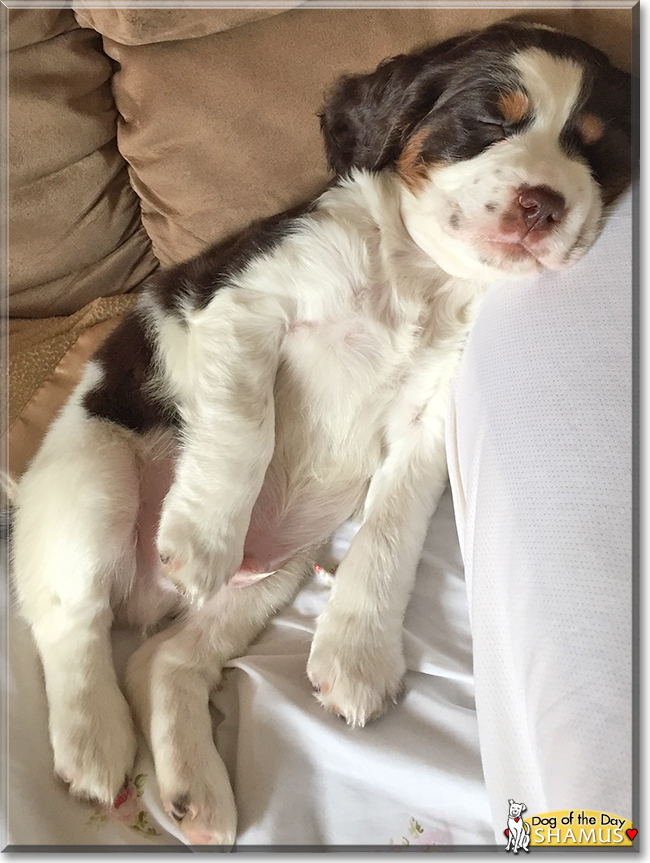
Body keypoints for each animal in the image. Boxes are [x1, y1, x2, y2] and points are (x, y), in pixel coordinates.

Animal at [10, 22, 628, 852]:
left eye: (596, 151)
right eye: (491, 121)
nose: (544, 204)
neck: (418, 275)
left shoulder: (427, 423)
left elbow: (391, 529)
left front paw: (357, 655)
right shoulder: (248, 308)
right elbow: (247, 428)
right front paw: (202, 537)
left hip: (274, 576)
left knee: (163, 662)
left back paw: (195, 790)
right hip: (95, 481)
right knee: (72, 624)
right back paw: (94, 743)